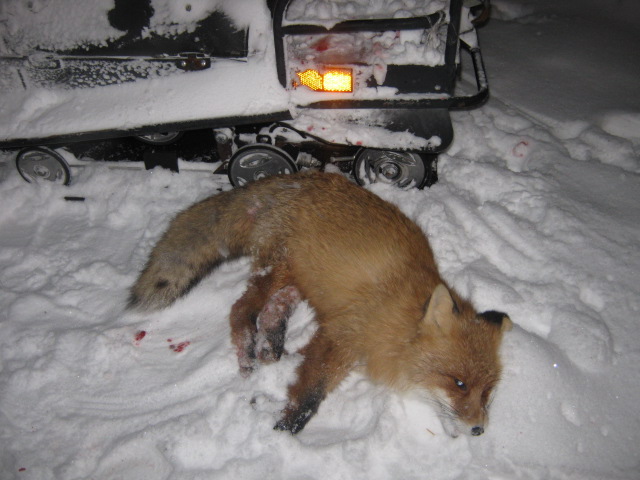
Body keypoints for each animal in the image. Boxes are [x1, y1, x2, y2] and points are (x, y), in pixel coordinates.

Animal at [128, 171, 512, 437]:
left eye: (487, 392)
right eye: (458, 383)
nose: (479, 430)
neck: (397, 313)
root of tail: (291, 178)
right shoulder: (341, 336)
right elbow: (311, 393)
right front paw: (282, 431)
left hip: (297, 280)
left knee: (272, 312)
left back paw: (271, 348)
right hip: (280, 267)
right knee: (241, 310)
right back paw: (250, 354)